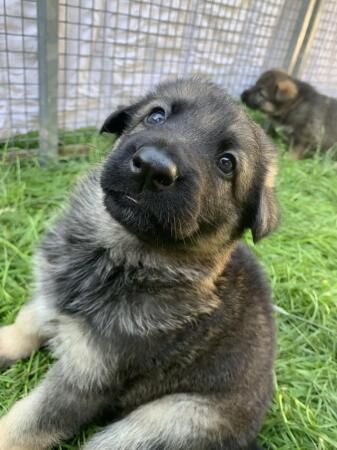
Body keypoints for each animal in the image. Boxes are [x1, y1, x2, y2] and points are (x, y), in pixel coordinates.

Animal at [0, 79, 278, 448]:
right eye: (156, 115)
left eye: (226, 163)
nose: (152, 166)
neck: (117, 256)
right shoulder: (50, 298)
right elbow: (26, 323)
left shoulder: (84, 379)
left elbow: (24, 424)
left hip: (154, 425)